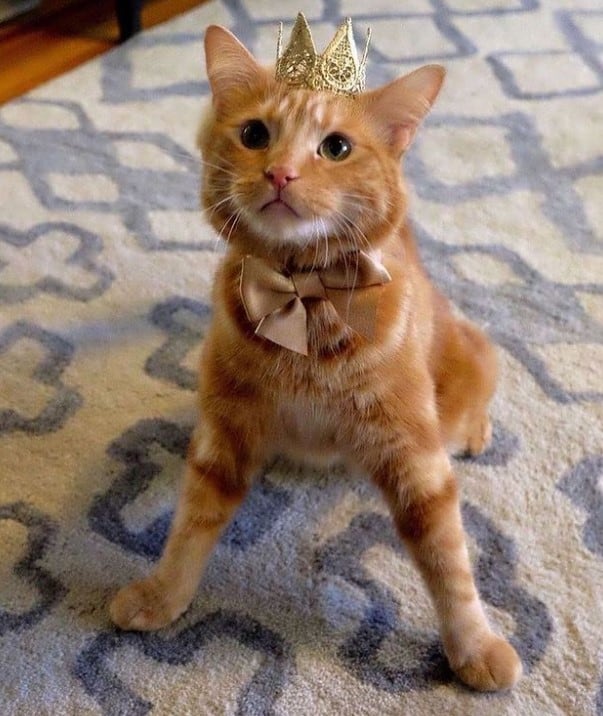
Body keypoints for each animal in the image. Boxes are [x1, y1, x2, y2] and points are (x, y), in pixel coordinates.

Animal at [109, 25, 524, 692]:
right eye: (255, 134)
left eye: (336, 147)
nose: (280, 173)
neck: (304, 299)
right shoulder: (223, 437)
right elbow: (190, 525)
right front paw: (162, 595)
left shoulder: (415, 458)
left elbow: (450, 563)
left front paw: (475, 646)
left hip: (471, 365)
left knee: (474, 403)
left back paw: (476, 431)